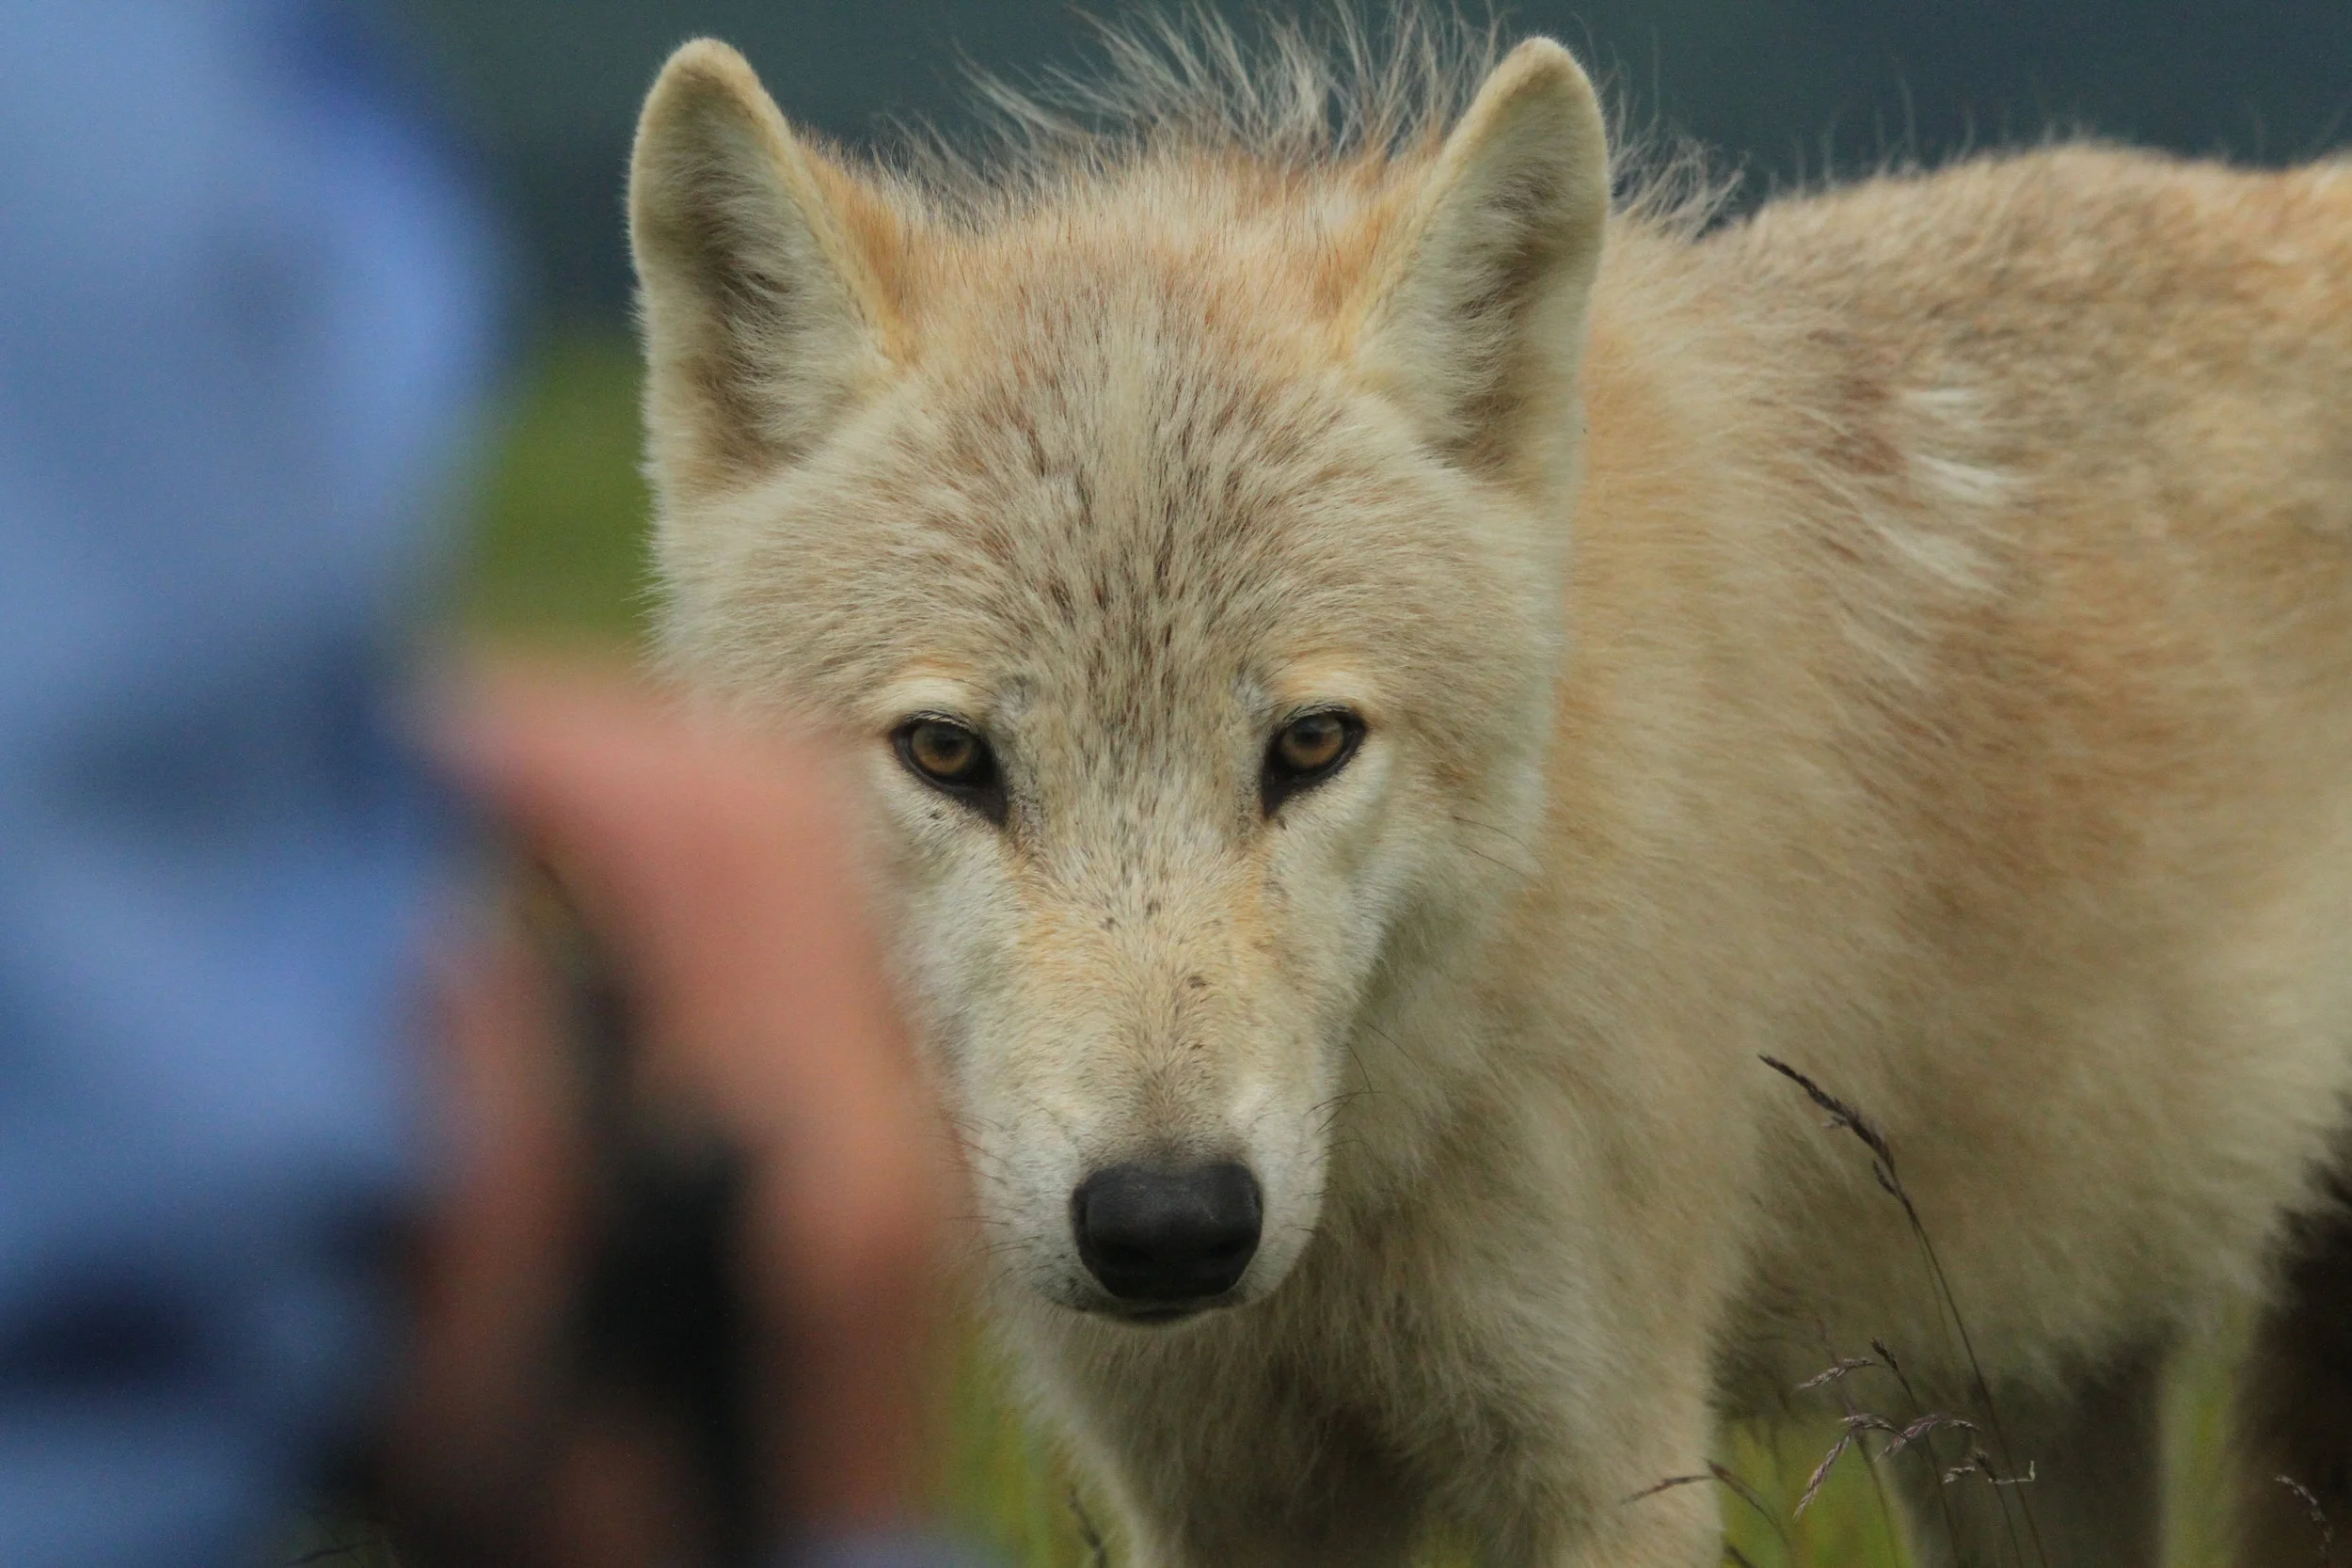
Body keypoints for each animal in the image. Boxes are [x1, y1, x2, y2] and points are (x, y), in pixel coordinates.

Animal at [624, 15, 2352, 1566]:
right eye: (950, 756)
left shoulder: (1611, 1458)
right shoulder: (1225, 1497)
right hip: (2021, 1402)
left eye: (1311, 745)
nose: (1172, 1221)